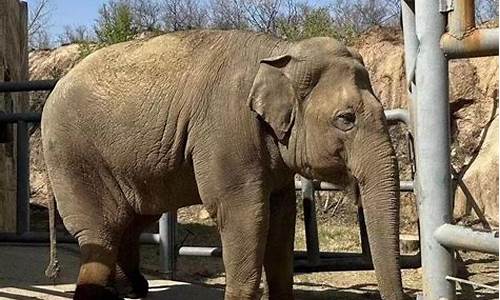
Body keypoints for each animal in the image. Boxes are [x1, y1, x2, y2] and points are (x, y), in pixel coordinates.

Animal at [42, 29, 406, 298]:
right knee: (100, 231)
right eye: (346, 119)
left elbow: (282, 218)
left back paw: (133, 289)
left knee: (132, 221)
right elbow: (246, 214)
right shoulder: (226, 133)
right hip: (73, 158)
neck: (282, 51)